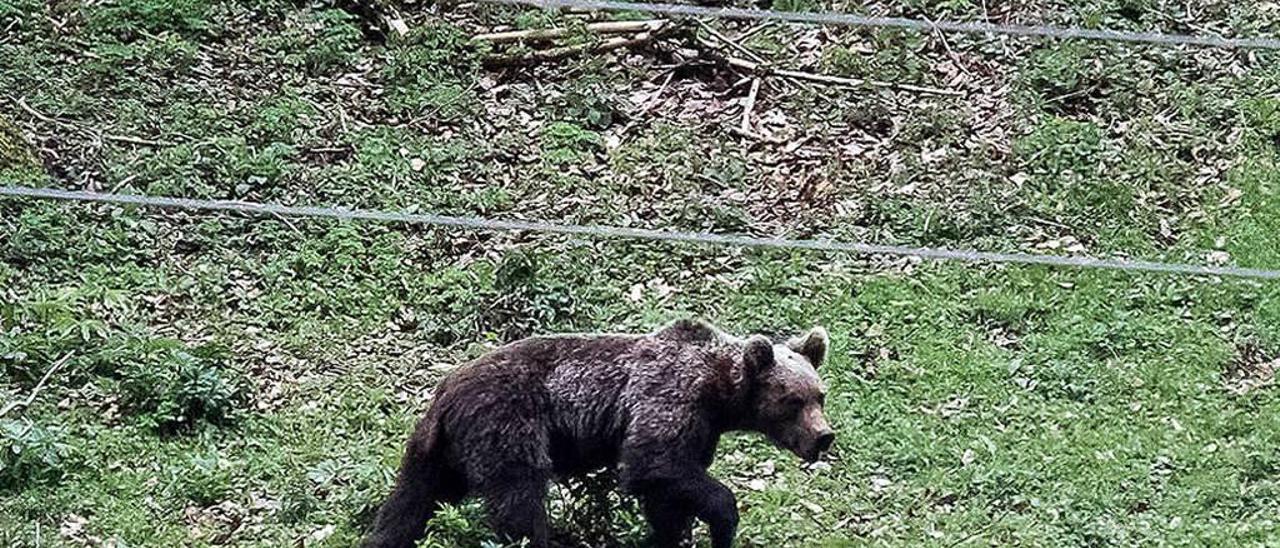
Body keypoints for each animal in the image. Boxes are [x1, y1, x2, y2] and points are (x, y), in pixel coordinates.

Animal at [363, 318, 839, 548]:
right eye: (792, 400)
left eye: (820, 395)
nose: (823, 437)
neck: (719, 392)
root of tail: (445, 389)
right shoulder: (667, 397)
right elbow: (653, 463)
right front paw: (722, 523)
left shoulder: (700, 429)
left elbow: (668, 491)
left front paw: (673, 535)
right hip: (507, 423)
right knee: (519, 497)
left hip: (441, 449)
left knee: (412, 499)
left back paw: (382, 537)